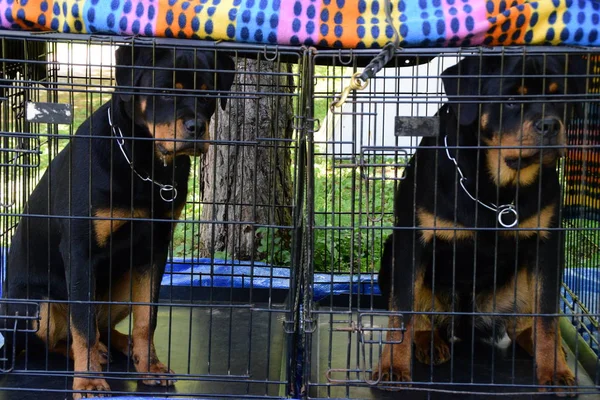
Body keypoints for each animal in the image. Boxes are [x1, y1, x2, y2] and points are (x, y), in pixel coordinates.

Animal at [3, 46, 236, 396]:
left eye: (208, 95)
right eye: (165, 91)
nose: (196, 127)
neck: (145, 165)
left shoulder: (154, 250)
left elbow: (146, 318)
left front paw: (150, 366)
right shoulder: (80, 252)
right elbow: (82, 327)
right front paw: (88, 380)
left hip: (122, 285)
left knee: (103, 326)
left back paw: (120, 346)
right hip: (34, 307)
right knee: (50, 341)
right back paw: (92, 354)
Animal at [376, 53, 584, 394]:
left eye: (559, 98)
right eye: (511, 100)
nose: (551, 124)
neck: (497, 189)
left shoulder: (548, 243)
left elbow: (547, 316)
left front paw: (554, 369)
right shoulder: (410, 241)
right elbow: (402, 312)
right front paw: (393, 367)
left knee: (524, 324)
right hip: (391, 254)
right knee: (422, 317)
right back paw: (429, 342)